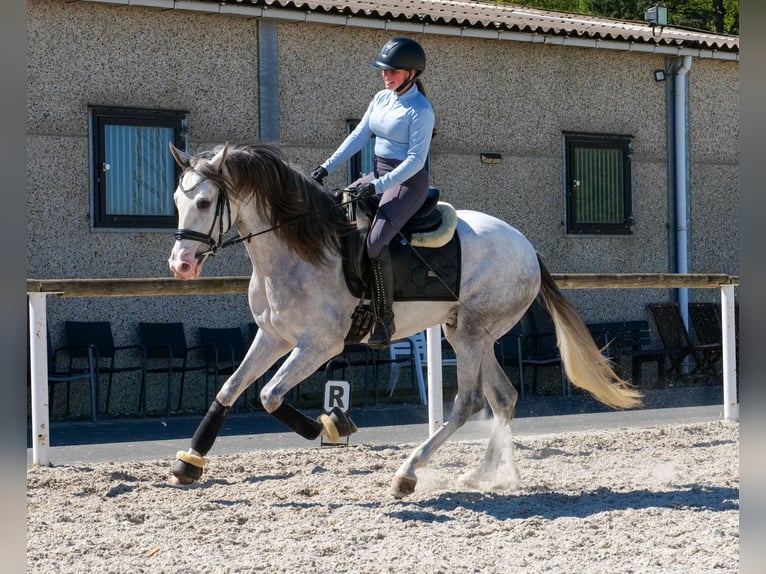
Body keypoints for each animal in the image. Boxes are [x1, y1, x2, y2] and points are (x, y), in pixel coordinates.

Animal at [166, 142, 643, 497]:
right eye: (175, 200)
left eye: (205, 201)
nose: (180, 264)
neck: (297, 251)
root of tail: (526, 246)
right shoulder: (273, 336)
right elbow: (230, 390)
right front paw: (190, 462)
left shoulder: (318, 344)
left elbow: (268, 395)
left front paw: (331, 425)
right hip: (469, 333)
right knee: (503, 397)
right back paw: (481, 474)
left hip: (471, 335)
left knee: (469, 402)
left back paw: (408, 473)